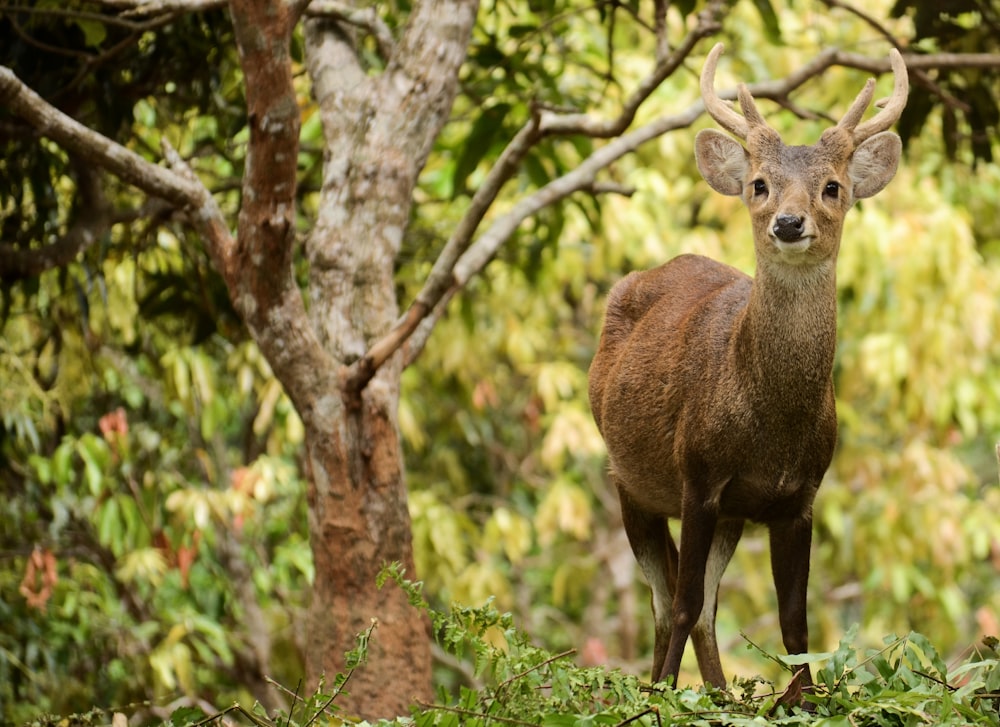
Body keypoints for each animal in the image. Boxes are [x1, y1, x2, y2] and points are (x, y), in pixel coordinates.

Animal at [588, 44, 912, 700]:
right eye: (759, 185)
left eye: (833, 187)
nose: (788, 223)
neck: (771, 427)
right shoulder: (697, 475)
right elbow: (683, 602)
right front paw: (664, 699)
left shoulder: (798, 497)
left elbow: (794, 619)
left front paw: (803, 699)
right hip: (628, 479)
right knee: (665, 601)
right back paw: (661, 687)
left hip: (728, 516)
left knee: (704, 607)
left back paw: (714, 694)